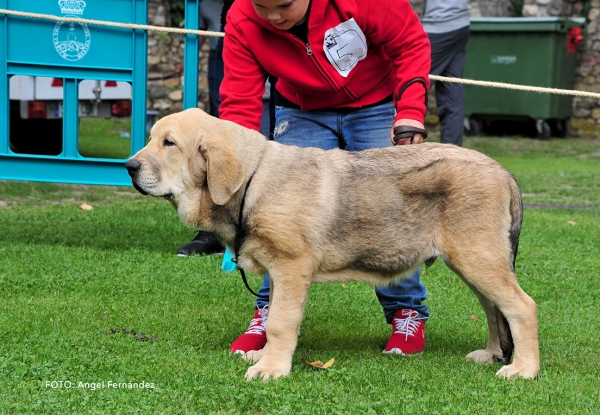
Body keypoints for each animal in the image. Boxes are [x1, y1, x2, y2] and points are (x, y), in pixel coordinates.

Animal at [125, 109, 540, 382]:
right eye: (151, 138)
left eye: (169, 143)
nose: (128, 166)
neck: (253, 178)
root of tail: (502, 171)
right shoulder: (277, 274)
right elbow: (271, 317)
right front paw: (264, 356)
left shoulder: (291, 268)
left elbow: (281, 322)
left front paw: (271, 368)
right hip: (474, 263)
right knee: (494, 310)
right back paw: (491, 354)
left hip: (479, 259)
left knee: (521, 307)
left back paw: (523, 369)